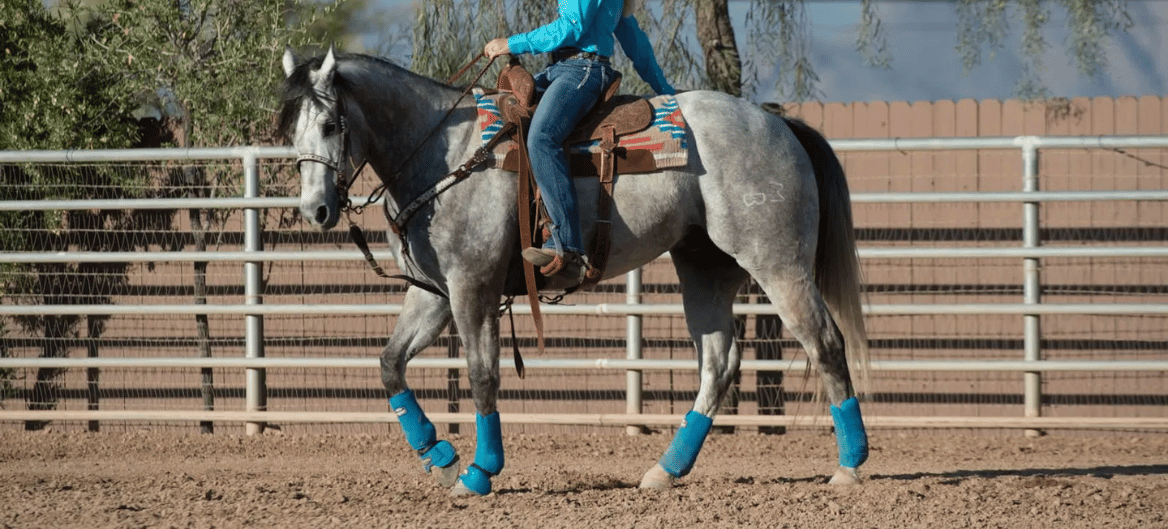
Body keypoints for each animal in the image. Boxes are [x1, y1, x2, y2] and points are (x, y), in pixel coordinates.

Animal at [278, 47, 871, 496]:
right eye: (290, 132)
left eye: (329, 123)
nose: (316, 211)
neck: (446, 152)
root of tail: (779, 124)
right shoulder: (434, 294)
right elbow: (389, 365)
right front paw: (440, 456)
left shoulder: (472, 288)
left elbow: (482, 374)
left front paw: (479, 473)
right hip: (705, 267)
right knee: (719, 364)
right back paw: (665, 470)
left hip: (777, 262)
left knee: (825, 343)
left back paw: (848, 467)